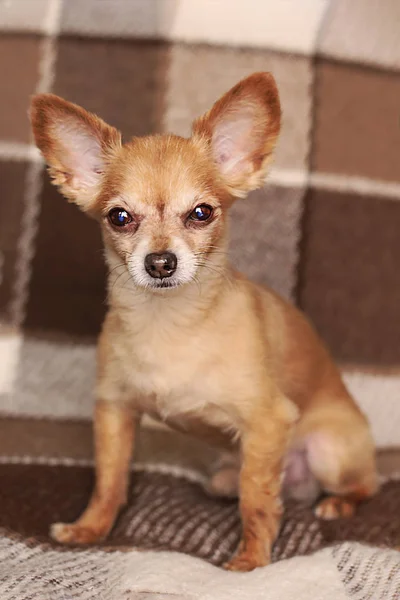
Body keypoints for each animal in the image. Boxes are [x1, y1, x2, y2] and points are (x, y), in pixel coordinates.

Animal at [31, 72, 378, 568]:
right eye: (119, 217)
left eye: (201, 213)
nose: (160, 262)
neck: (173, 324)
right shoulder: (115, 410)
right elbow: (109, 479)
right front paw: (90, 528)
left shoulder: (268, 421)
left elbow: (257, 500)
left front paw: (251, 560)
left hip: (330, 450)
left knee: (364, 485)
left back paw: (337, 503)